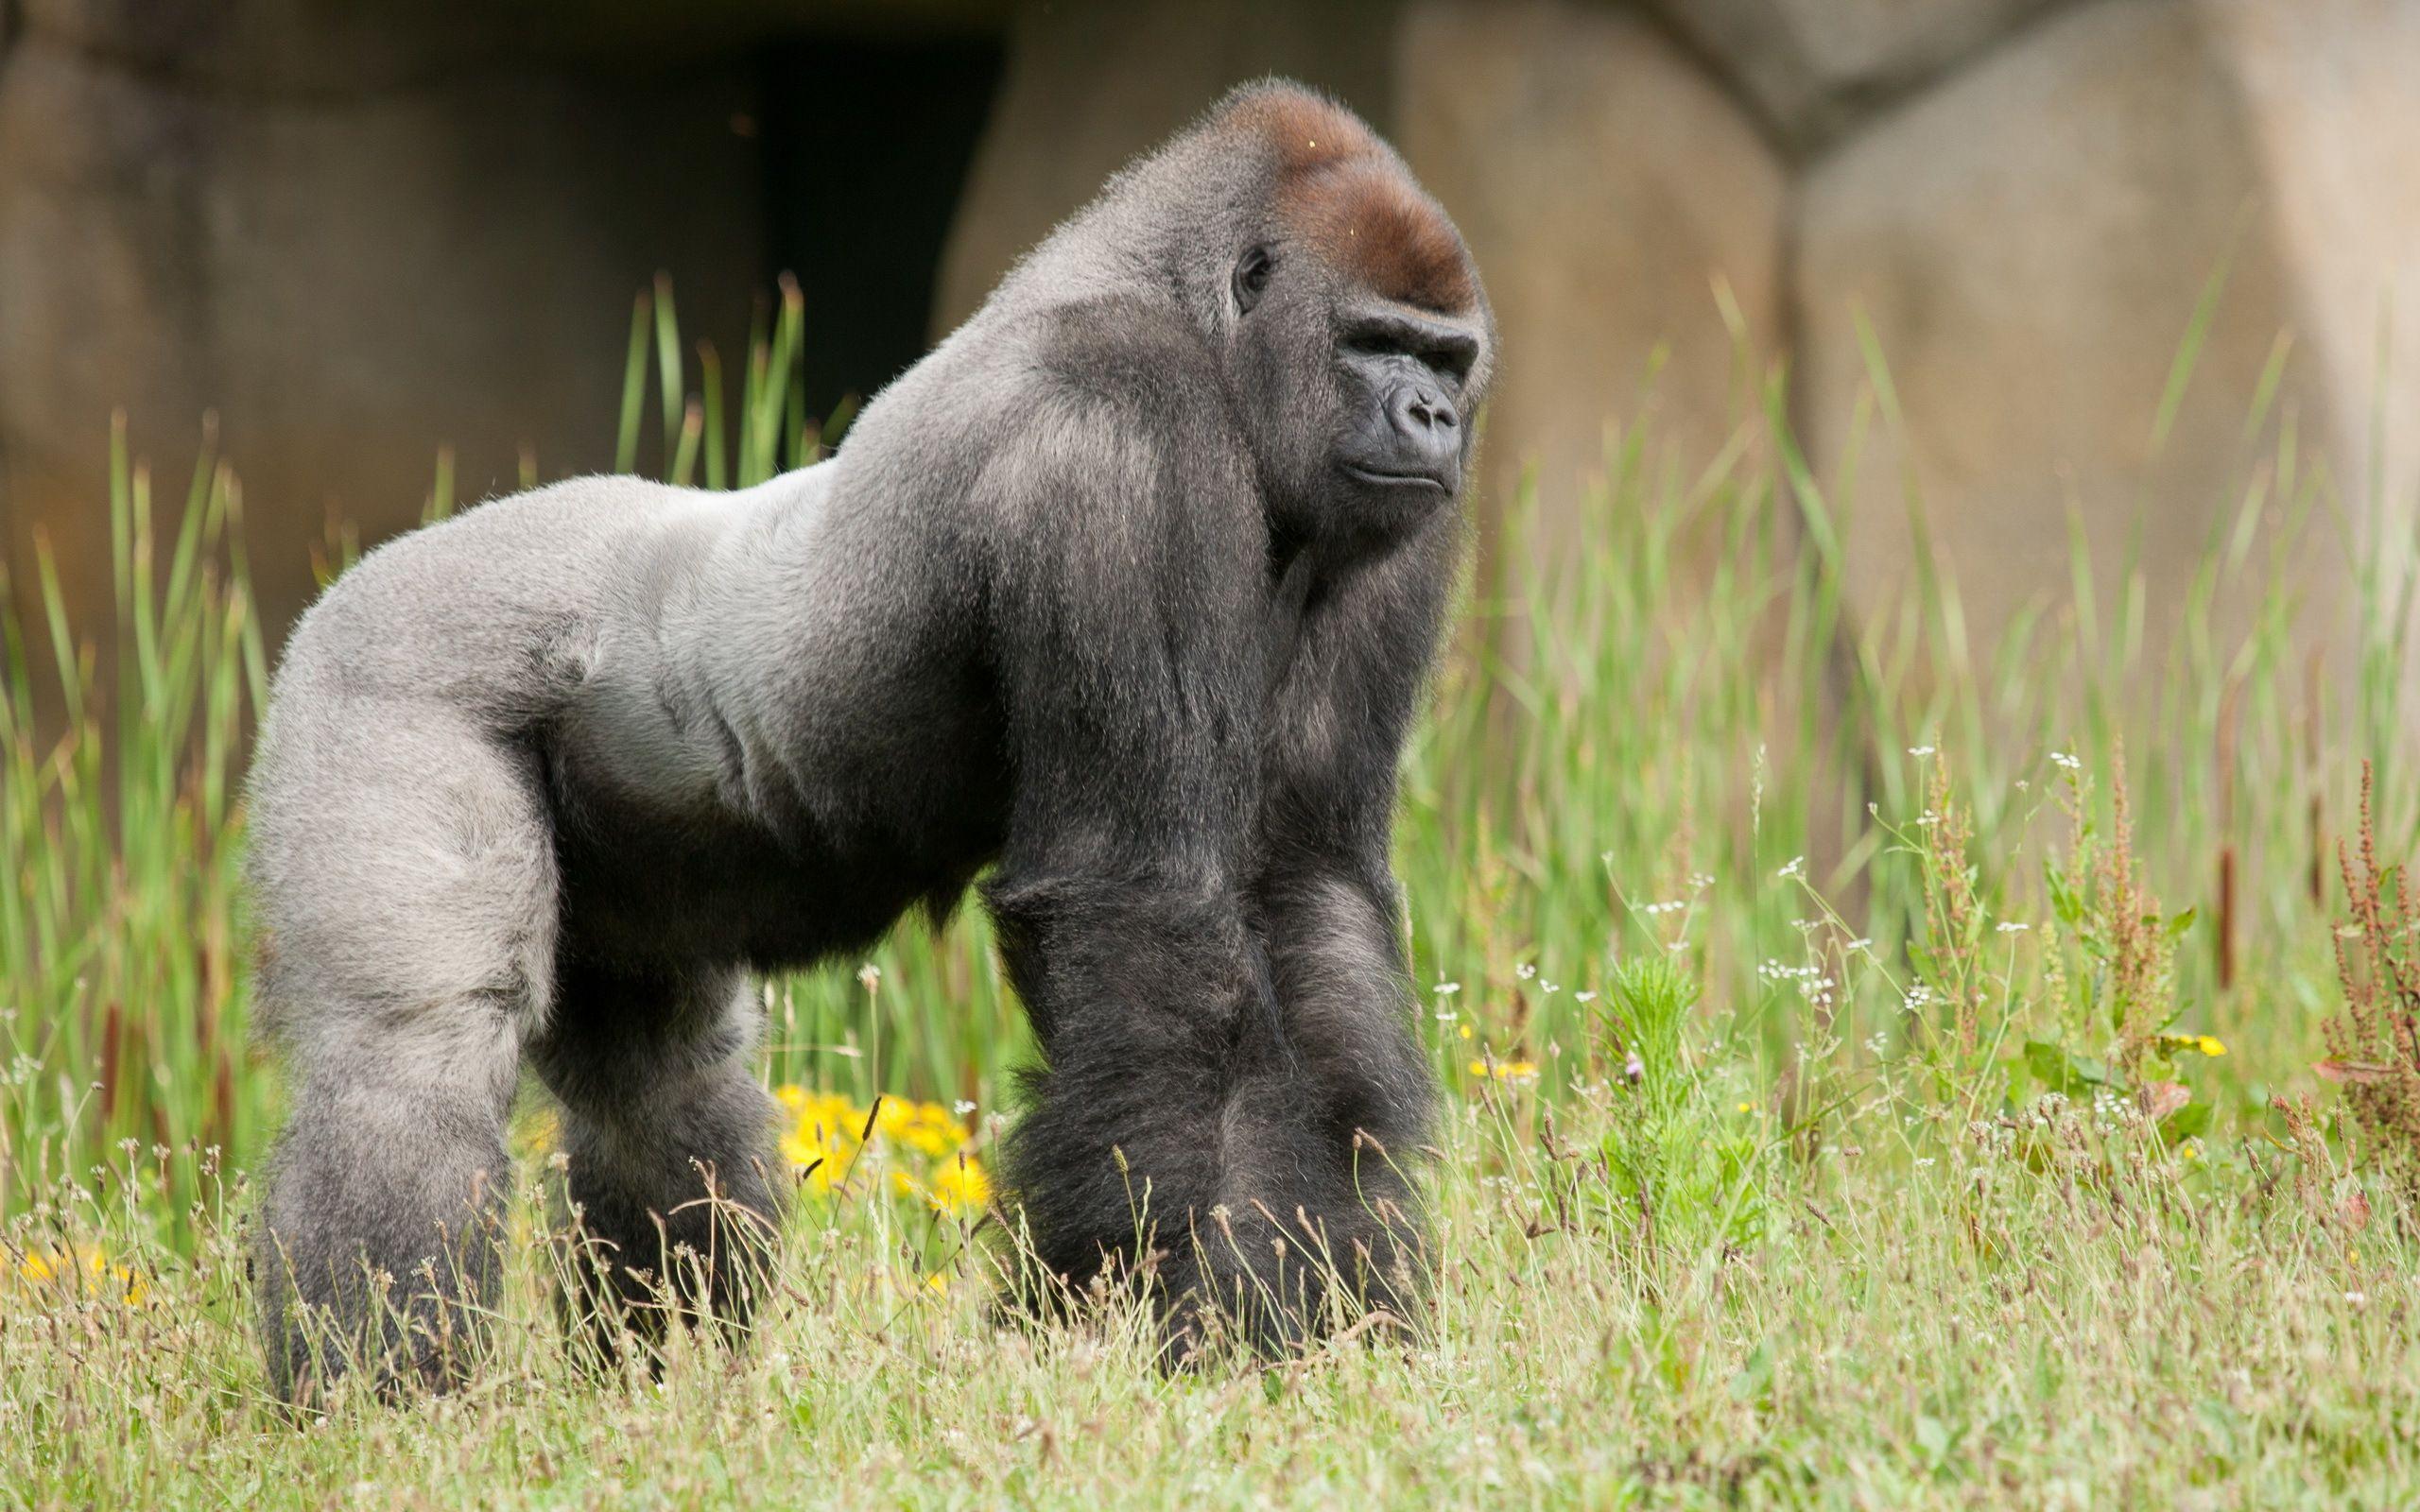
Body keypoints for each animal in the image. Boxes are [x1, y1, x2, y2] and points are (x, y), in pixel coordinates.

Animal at [243, 78, 1494, 1400]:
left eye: (1448, 358)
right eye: (1373, 343)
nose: (1433, 416)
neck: (1191, 315)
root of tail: (346, 589)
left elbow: (1306, 894)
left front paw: (1337, 1308)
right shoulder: (1119, 419)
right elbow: (1141, 901)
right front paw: (1182, 1325)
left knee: (665, 1088)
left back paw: (665, 1373)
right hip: (382, 672)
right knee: (412, 1055)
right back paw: (379, 1398)